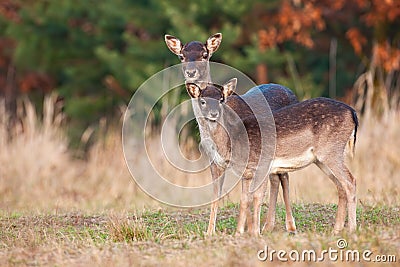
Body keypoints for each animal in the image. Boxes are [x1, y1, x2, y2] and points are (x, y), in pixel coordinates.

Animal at [163, 34, 300, 236]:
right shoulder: (214, 161)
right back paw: (268, 226)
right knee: (275, 178)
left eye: (205, 54)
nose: (191, 72)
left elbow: (246, 195)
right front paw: (210, 231)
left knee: (285, 178)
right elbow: (216, 194)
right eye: (182, 56)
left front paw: (245, 230)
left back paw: (290, 226)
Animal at [188, 79, 360, 237]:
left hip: (331, 150)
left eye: (221, 100)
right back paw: (336, 230)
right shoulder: (247, 172)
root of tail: (353, 112)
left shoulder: (263, 164)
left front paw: (255, 233)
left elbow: (257, 197)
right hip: (322, 158)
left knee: (350, 181)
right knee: (340, 185)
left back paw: (351, 229)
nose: (214, 114)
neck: (233, 144)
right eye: (202, 101)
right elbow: (244, 199)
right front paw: (238, 233)